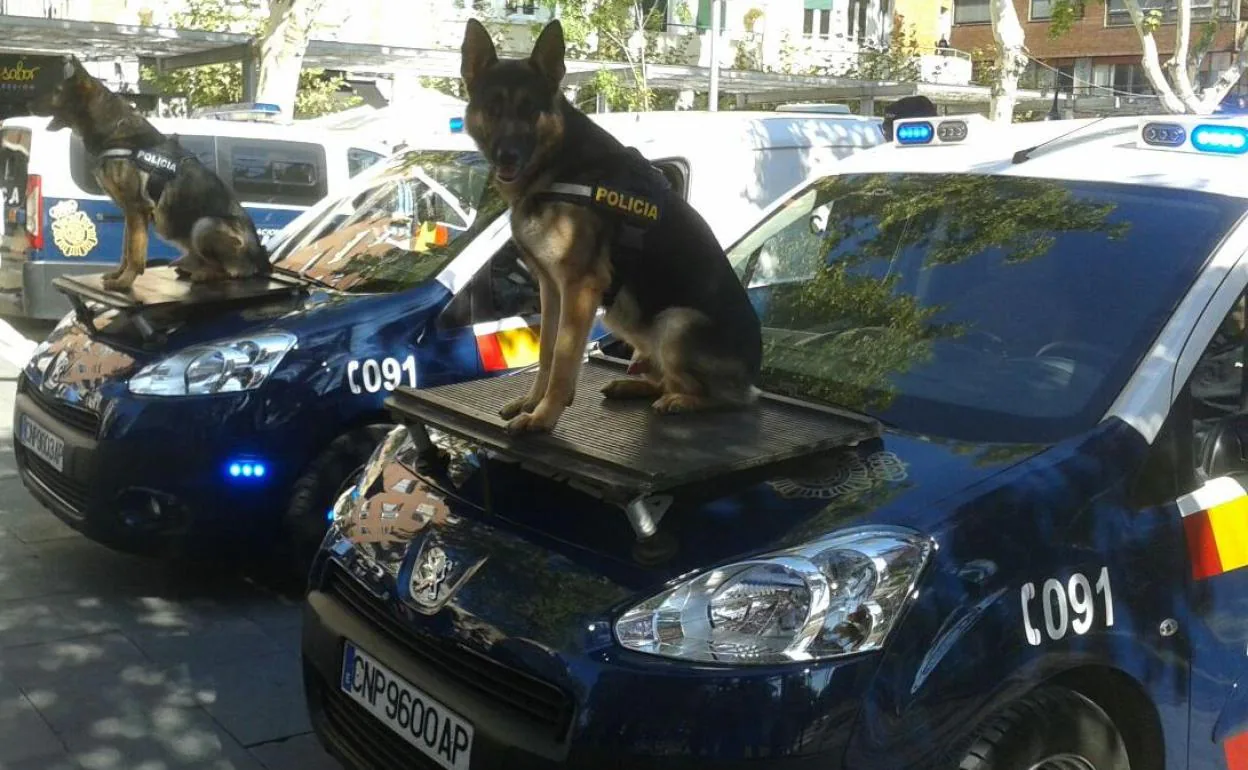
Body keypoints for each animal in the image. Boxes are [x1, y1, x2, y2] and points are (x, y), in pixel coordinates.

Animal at [29, 56, 270, 290]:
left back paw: (205, 273)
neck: (114, 128)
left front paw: (124, 283)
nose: (27, 105)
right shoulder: (130, 211)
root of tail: (262, 261)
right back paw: (191, 267)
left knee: (230, 272)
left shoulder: (136, 207)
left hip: (204, 225)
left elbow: (135, 253)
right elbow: (126, 251)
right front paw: (118, 275)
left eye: (57, 91)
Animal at [464, 18, 763, 434]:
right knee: (664, 378)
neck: (559, 163)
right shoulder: (551, 287)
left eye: (529, 110)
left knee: (724, 398)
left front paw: (544, 417)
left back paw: (682, 402)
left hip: (674, 322)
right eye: (492, 108)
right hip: (623, 318)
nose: (507, 156)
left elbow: (563, 358)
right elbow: (547, 351)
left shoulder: (579, 287)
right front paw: (532, 402)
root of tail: (753, 373)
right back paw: (633, 385)